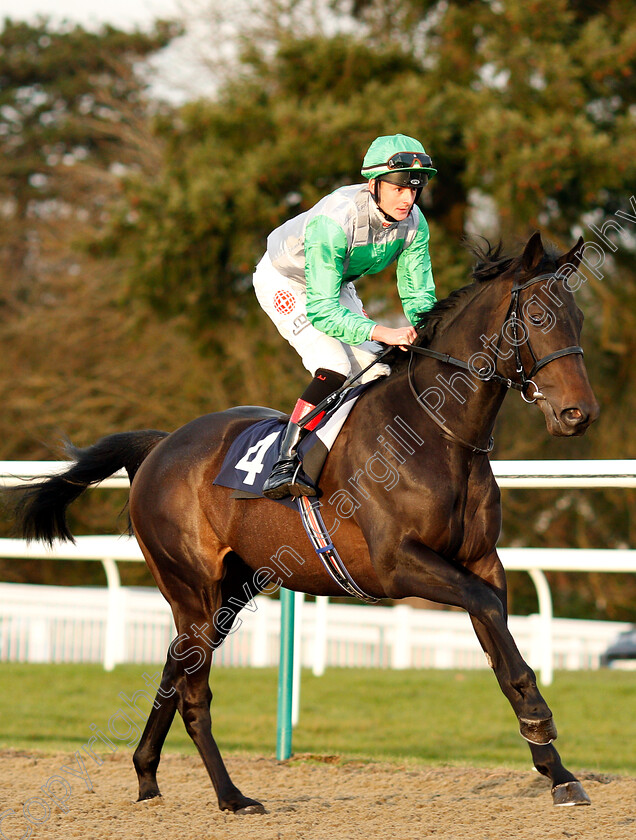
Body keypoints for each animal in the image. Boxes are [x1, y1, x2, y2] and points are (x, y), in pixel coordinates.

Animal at [12, 231, 600, 812]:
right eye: (538, 317)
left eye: (578, 318)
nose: (579, 414)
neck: (435, 431)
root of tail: (161, 446)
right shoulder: (397, 565)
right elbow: (489, 614)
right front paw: (540, 719)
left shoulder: (479, 560)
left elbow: (497, 637)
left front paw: (556, 770)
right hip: (191, 584)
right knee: (194, 692)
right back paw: (232, 796)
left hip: (229, 591)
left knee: (173, 669)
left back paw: (146, 774)